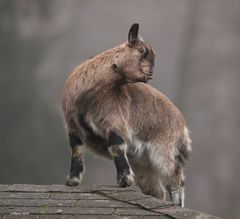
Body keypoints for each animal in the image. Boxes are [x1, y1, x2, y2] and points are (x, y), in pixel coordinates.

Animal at [61, 24, 191, 207]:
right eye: (141, 50)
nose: (150, 73)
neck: (88, 95)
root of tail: (182, 124)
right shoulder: (72, 125)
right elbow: (76, 150)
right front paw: (72, 179)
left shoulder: (112, 119)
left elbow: (116, 146)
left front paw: (125, 179)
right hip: (143, 164)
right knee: (157, 190)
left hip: (165, 150)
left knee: (176, 179)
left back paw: (177, 205)